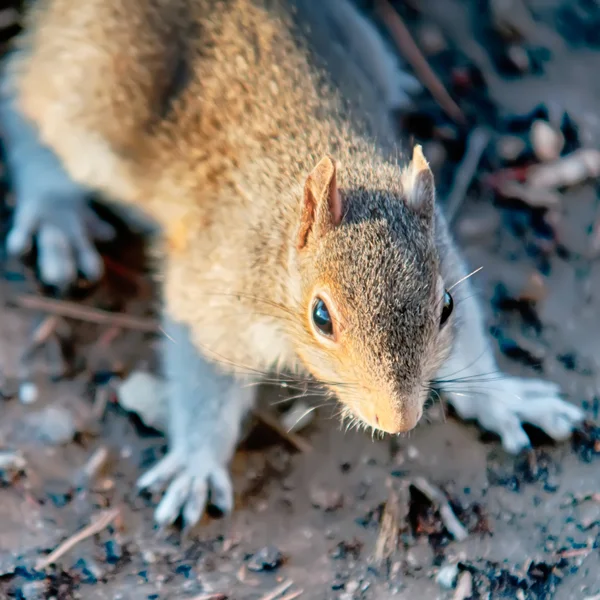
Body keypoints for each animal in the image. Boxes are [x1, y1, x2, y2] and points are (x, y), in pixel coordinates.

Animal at [0, 0, 584, 524]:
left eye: (445, 306)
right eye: (321, 317)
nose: (399, 421)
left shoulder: (448, 251)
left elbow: (468, 346)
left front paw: (503, 396)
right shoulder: (212, 294)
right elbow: (203, 382)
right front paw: (196, 465)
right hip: (93, 93)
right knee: (25, 102)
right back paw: (55, 213)